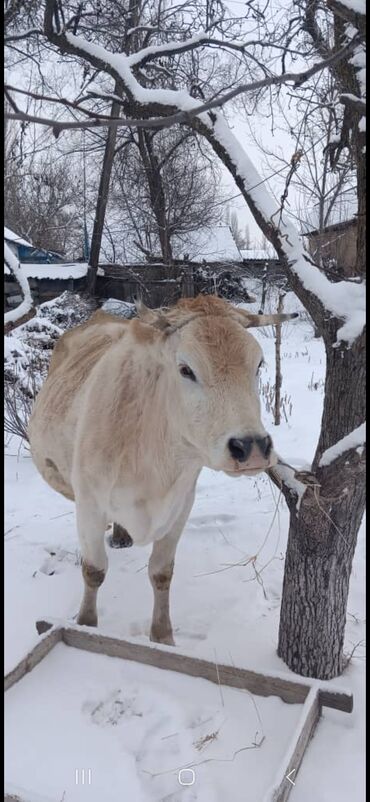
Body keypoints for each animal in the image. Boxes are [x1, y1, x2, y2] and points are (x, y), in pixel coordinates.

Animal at [27, 294, 296, 644]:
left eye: (259, 364)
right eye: (186, 369)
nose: (250, 447)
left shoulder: (181, 505)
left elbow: (161, 572)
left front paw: (163, 635)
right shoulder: (89, 505)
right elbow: (94, 570)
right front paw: (86, 625)